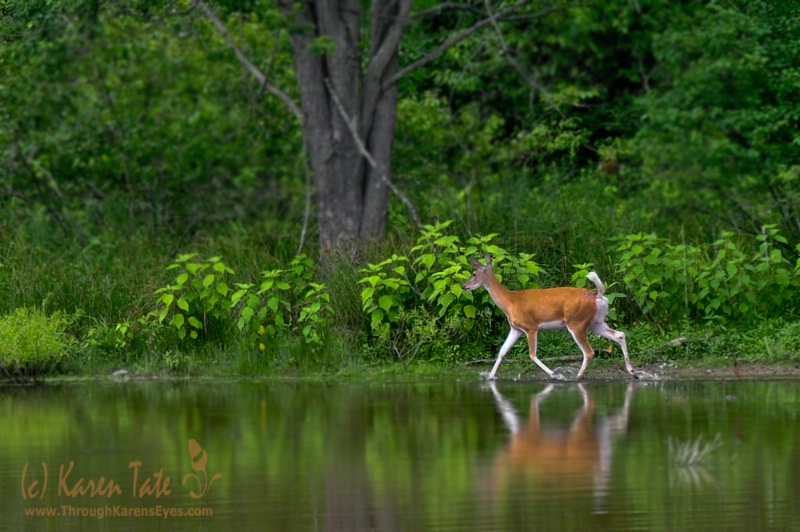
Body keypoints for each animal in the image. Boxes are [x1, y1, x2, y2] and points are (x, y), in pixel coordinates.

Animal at [460, 256, 636, 380]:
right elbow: (502, 351)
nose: (464, 286)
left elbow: (532, 354)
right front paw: (490, 377)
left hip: (576, 322)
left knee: (589, 351)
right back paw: (632, 371)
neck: (510, 301)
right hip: (595, 322)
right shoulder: (516, 328)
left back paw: (577, 376)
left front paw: (555, 375)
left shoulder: (531, 327)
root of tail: (596, 295)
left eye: (474, 274)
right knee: (620, 334)